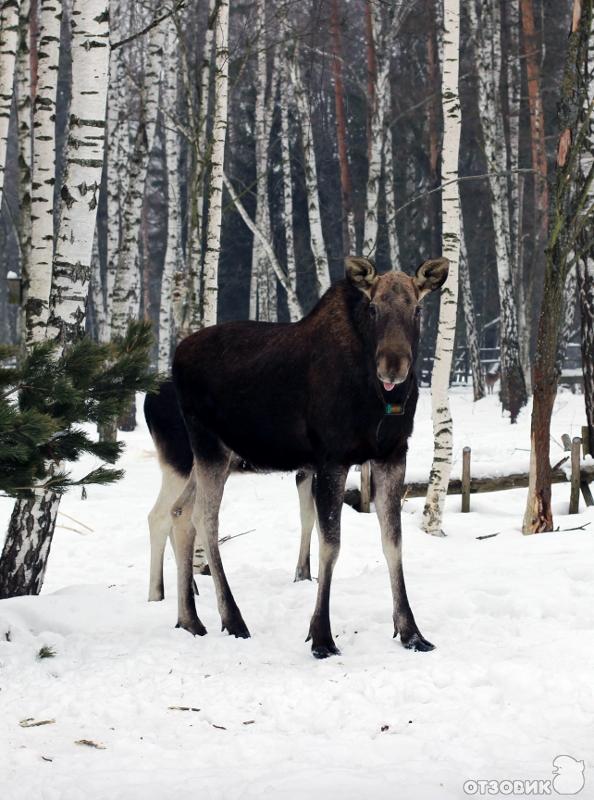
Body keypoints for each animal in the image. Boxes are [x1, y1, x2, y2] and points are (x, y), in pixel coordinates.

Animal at [155, 256, 446, 656]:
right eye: (373, 307)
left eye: (417, 308)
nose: (393, 365)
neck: (377, 399)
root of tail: (176, 356)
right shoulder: (332, 458)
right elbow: (330, 546)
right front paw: (321, 636)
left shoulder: (391, 455)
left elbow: (393, 544)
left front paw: (411, 632)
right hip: (208, 444)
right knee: (205, 518)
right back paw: (233, 618)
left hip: (216, 458)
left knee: (180, 513)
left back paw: (189, 619)